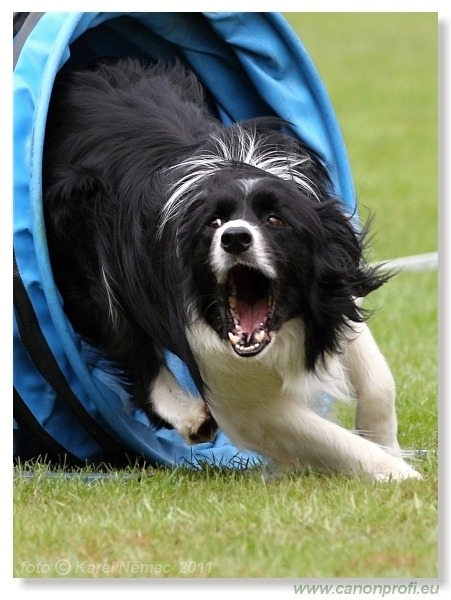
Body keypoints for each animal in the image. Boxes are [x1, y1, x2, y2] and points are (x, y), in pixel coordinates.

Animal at [44, 56, 422, 478]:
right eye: (214, 223)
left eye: (275, 220)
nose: (235, 237)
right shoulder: (229, 381)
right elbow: (318, 433)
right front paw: (401, 475)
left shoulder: (334, 294)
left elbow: (377, 376)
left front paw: (388, 444)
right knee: (125, 340)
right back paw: (188, 415)